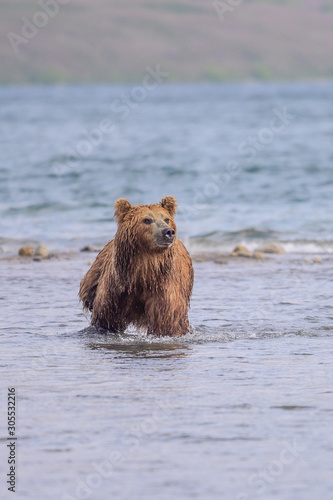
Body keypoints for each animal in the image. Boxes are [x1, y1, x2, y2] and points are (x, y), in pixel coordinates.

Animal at [79, 195, 193, 336]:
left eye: (166, 219)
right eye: (147, 220)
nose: (168, 232)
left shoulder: (164, 288)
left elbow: (167, 323)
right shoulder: (116, 289)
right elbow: (106, 318)